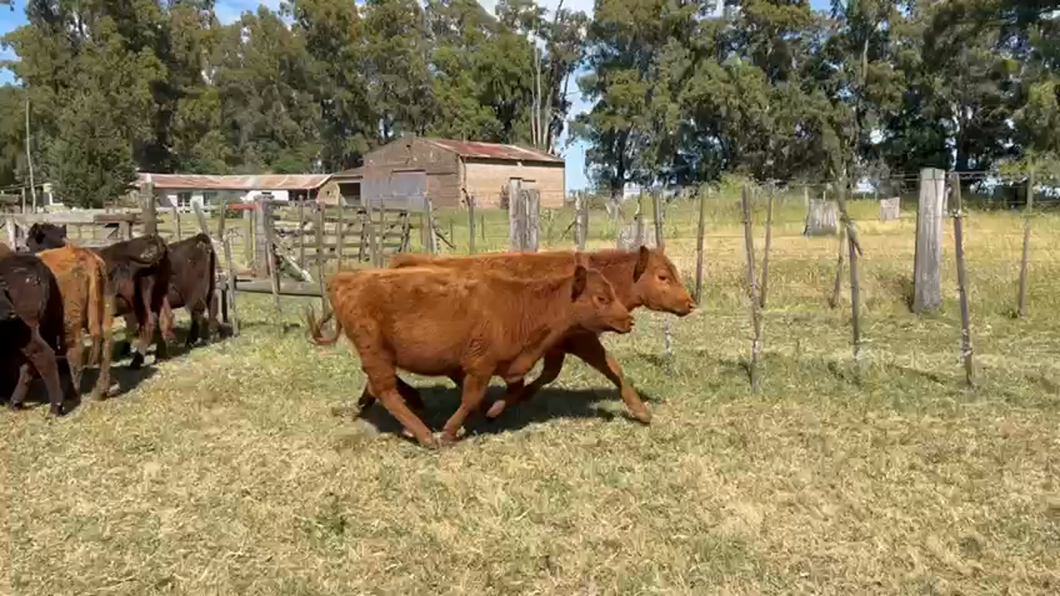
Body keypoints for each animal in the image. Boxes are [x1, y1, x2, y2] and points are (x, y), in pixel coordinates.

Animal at [35, 241, 115, 398]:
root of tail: (83, 253)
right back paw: (100, 391)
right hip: (104, 305)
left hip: (69, 319)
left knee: (75, 348)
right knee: (106, 341)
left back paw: (72, 392)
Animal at [303, 259, 631, 445]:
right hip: (376, 353)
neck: (520, 305)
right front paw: (449, 432)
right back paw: (425, 435)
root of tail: (347, 278)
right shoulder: (479, 367)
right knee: (385, 389)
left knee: (379, 386)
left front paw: (493, 412)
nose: (628, 319)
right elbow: (470, 398)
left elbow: (514, 390)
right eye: (601, 298)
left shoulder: (508, 366)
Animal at [385, 246, 699, 422]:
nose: (691, 303)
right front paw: (640, 411)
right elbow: (611, 367)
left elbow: (549, 374)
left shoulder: (557, 345)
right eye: (663, 276)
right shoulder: (581, 339)